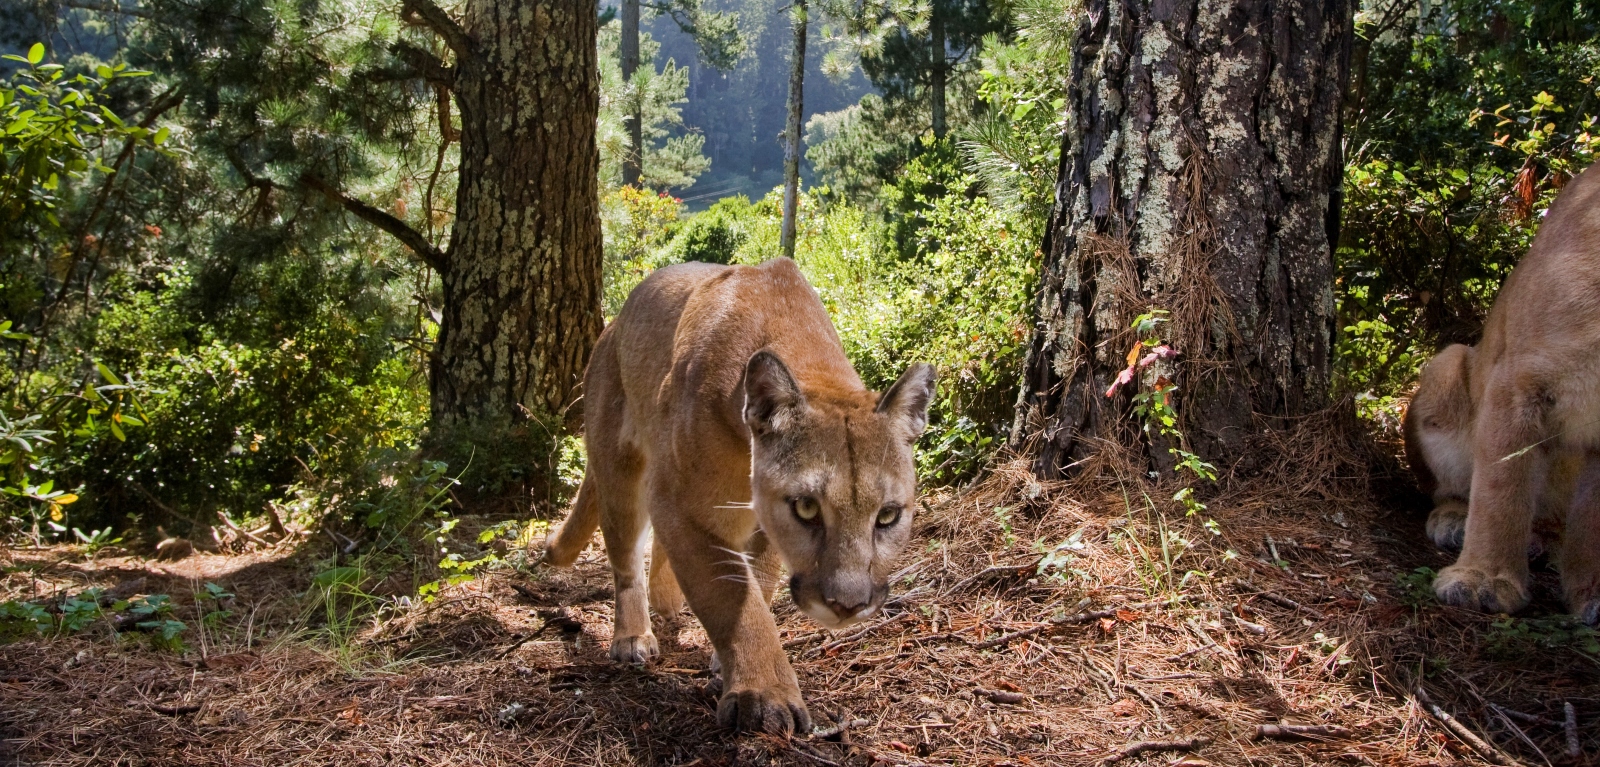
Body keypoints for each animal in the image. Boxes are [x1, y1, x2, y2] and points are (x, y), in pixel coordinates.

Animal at [544, 256, 934, 733]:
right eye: (807, 508)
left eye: (887, 516)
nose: (847, 605)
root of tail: (612, 325)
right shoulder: (681, 502)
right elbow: (731, 596)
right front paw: (763, 695)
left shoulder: (752, 516)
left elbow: (758, 582)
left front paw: (729, 664)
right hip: (620, 472)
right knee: (626, 560)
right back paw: (633, 636)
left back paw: (668, 600)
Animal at [1408, 160, 1600, 624]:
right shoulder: (1519, 382)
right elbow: (1501, 486)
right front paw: (1484, 579)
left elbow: (1593, 520)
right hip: (1449, 365)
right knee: (1449, 489)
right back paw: (1456, 521)